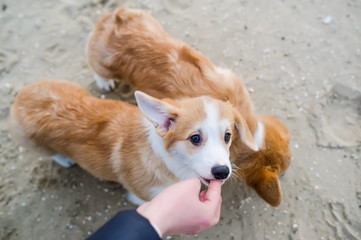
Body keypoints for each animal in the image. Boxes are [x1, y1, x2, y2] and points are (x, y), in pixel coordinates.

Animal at [9, 79, 256, 205]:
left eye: (227, 136)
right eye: (195, 138)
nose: (222, 172)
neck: (170, 162)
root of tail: (22, 95)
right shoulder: (146, 197)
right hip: (36, 144)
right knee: (52, 154)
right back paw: (65, 159)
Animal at [86, 7, 292, 206]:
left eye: (227, 136)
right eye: (282, 171)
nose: (287, 172)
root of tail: (116, 16)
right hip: (103, 64)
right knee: (96, 66)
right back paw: (104, 82)